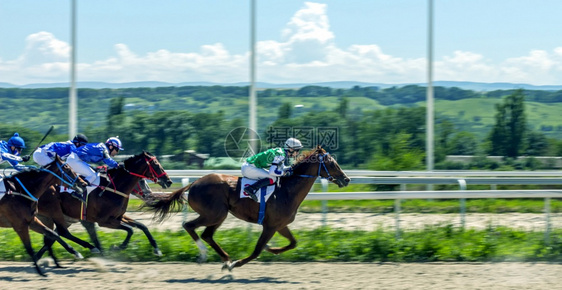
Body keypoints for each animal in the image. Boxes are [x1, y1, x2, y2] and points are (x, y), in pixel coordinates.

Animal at [36, 151, 172, 260]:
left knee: (53, 234)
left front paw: (157, 249)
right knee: (61, 232)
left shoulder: (118, 217)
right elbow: (130, 230)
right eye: (156, 164)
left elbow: (142, 226)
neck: (113, 188)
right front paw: (117, 247)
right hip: (54, 211)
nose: (168, 181)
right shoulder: (104, 221)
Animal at [149, 146, 350, 270]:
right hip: (215, 214)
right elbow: (257, 250)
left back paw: (225, 260)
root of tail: (194, 183)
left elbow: (293, 243)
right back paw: (206, 255)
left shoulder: (280, 225)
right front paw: (238, 263)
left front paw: (272, 249)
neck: (286, 191)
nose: (346, 179)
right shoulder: (270, 226)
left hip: (218, 215)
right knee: (189, 226)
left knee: (207, 234)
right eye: (332, 163)